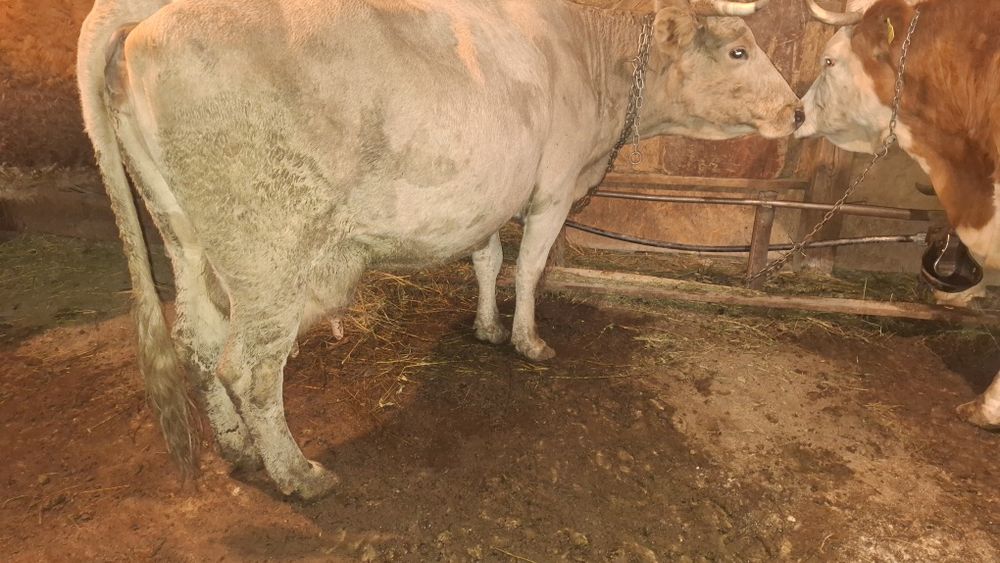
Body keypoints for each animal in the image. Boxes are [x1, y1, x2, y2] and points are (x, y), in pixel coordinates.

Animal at [78, 0, 803, 498]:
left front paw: (486, 326)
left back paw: (235, 447)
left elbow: (486, 260)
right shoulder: (554, 185)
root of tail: (151, 13)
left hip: (183, 232)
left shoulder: (486, 192)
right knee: (248, 367)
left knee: (197, 336)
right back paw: (297, 472)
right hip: (268, 250)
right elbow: (530, 267)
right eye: (739, 51)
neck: (588, 59)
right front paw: (529, 340)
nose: (797, 112)